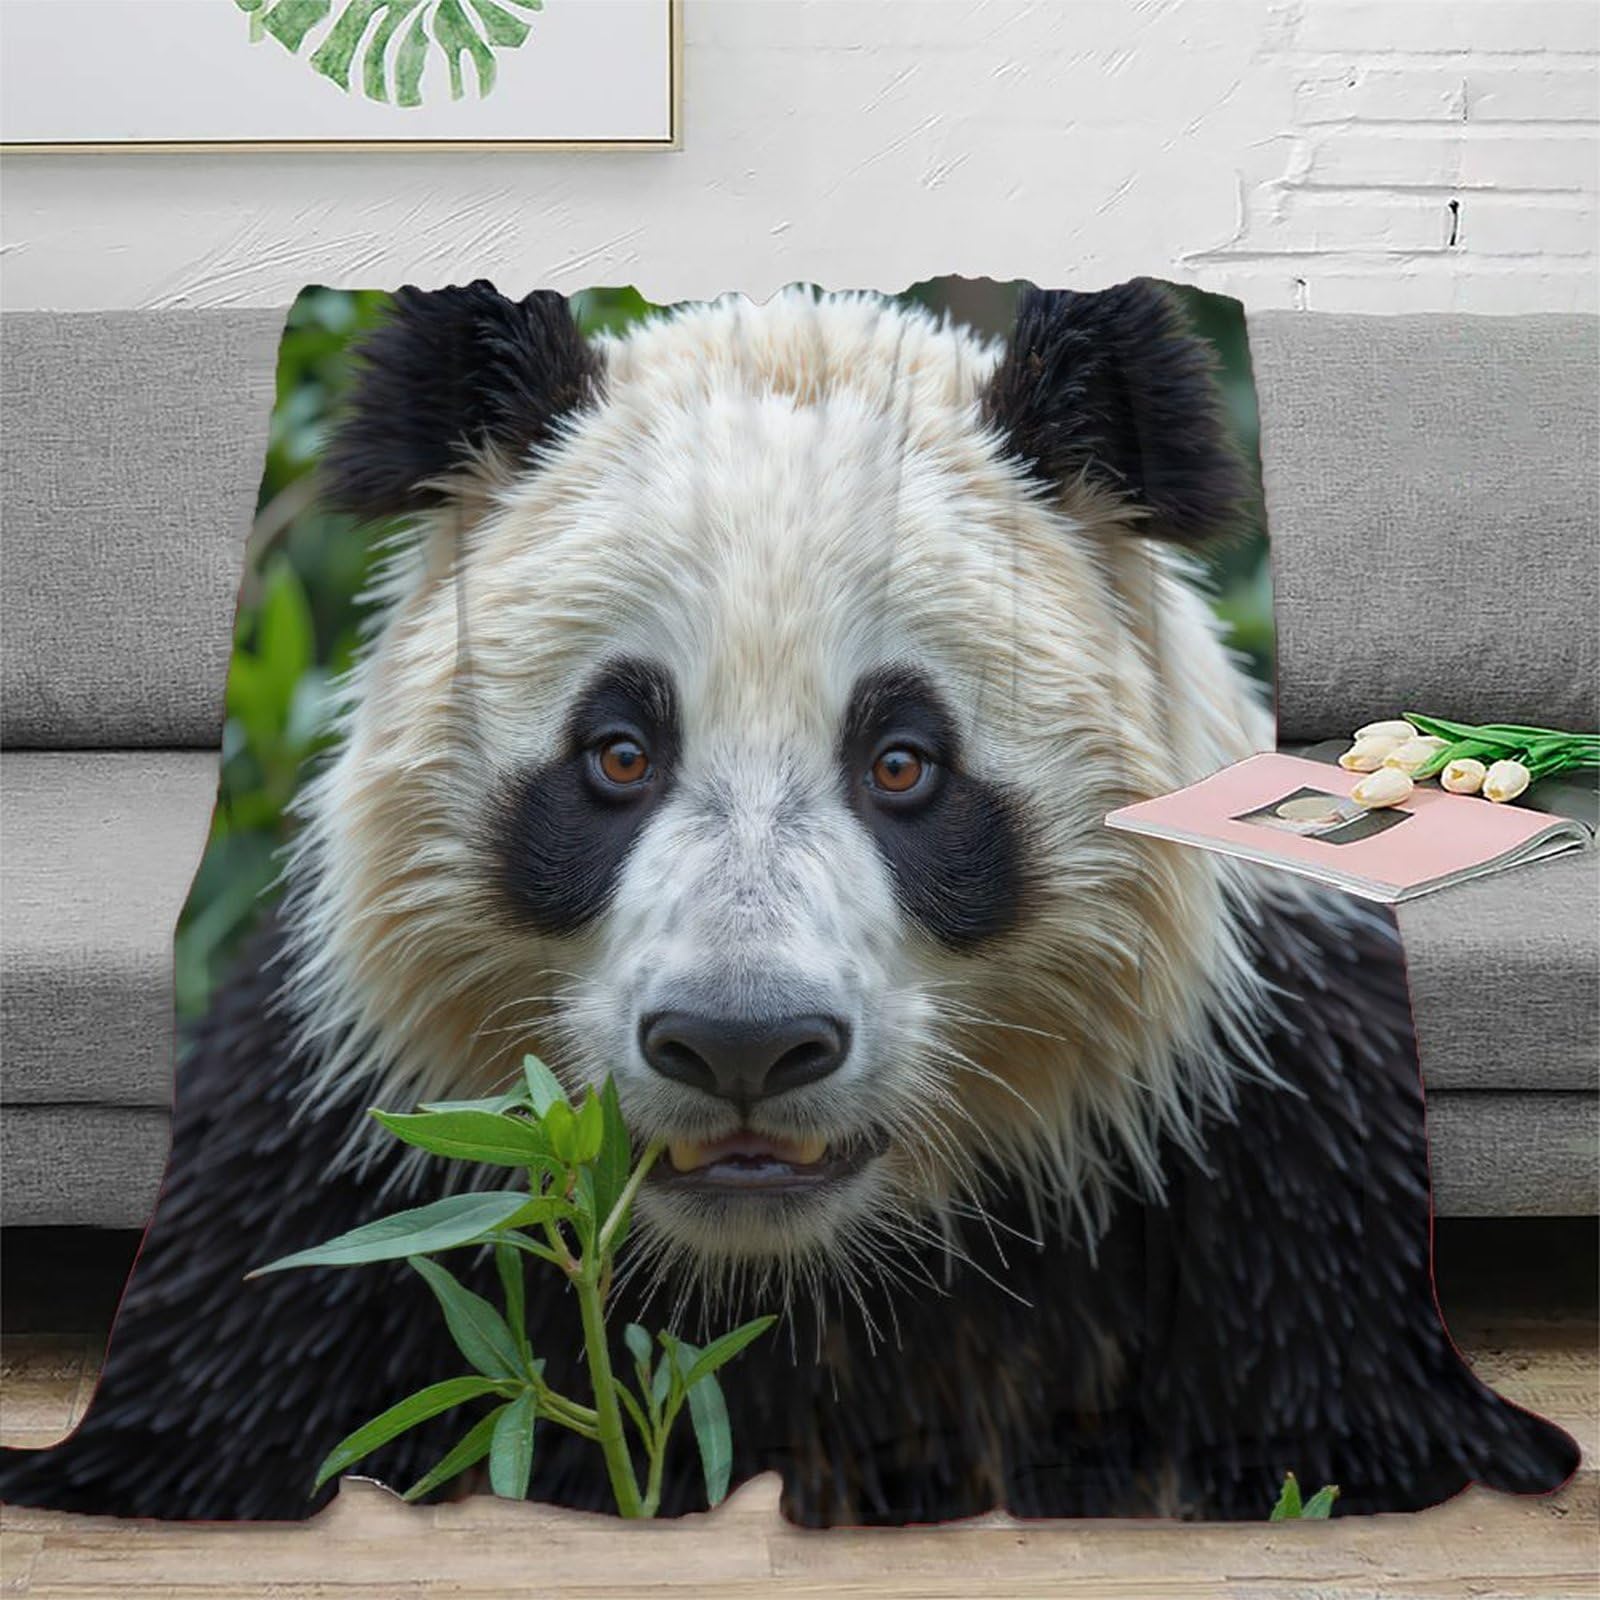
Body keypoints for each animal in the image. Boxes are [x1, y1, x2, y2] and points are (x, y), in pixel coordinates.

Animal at [0, 281, 1578, 1524]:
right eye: (617, 753)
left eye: (903, 763)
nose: (741, 1045)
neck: (785, 1285)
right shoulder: (357, 1145)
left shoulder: (1266, 1138)